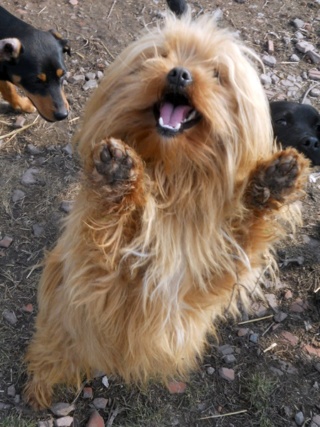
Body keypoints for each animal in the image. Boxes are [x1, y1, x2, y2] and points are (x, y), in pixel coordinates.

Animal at [23, 11, 308, 410]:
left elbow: (247, 230)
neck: (171, 178)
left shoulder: (208, 274)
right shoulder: (101, 278)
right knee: (50, 354)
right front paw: (118, 176)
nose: (179, 73)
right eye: (161, 55)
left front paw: (273, 181)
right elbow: (106, 232)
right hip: (60, 329)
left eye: (217, 74)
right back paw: (39, 389)